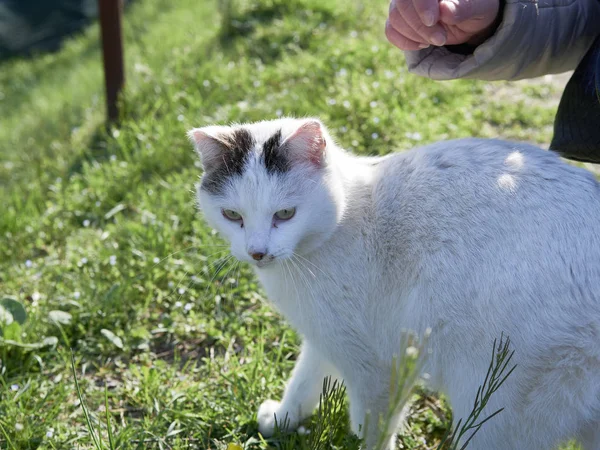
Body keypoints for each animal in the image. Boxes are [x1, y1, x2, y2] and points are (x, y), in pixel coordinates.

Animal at [189, 118, 600, 448]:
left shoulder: (374, 364)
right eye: (232, 215)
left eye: (285, 214)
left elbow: (373, 427)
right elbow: (304, 379)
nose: (257, 252)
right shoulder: (328, 336)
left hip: (493, 411)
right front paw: (282, 420)